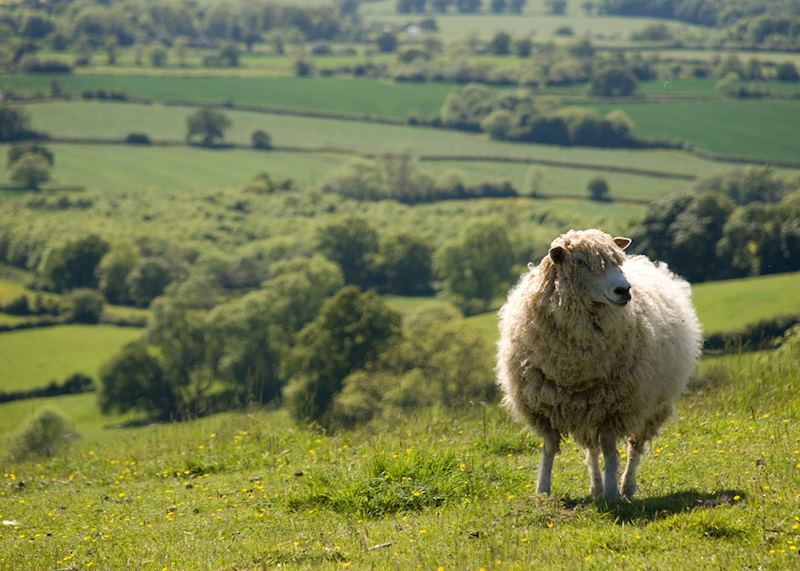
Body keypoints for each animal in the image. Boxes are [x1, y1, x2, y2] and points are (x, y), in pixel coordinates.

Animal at [496, 229, 702, 501]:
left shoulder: (613, 407)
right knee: (591, 450)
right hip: (583, 407)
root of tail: (650, 264)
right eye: (579, 262)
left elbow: (610, 450)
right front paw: (543, 491)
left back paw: (626, 487)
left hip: (652, 405)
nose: (624, 290)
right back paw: (595, 488)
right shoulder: (543, 408)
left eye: (616, 261)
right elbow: (549, 448)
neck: (574, 366)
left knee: (634, 447)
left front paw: (612, 492)